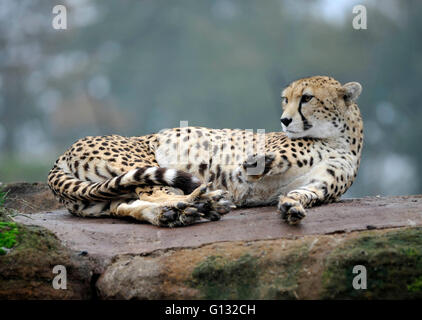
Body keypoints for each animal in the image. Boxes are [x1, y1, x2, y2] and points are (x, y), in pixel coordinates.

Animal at [47, 75, 362, 226]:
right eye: (286, 99)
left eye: (306, 98)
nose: (285, 120)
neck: (337, 138)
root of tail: (62, 154)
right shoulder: (258, 158)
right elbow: (260, 163)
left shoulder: (319, 185)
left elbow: (302, 194)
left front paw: (291, 207)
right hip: (140, 160)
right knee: (157, 191)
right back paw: (203, 202)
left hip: (102, 198)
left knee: (126, 205)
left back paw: (179, 213)